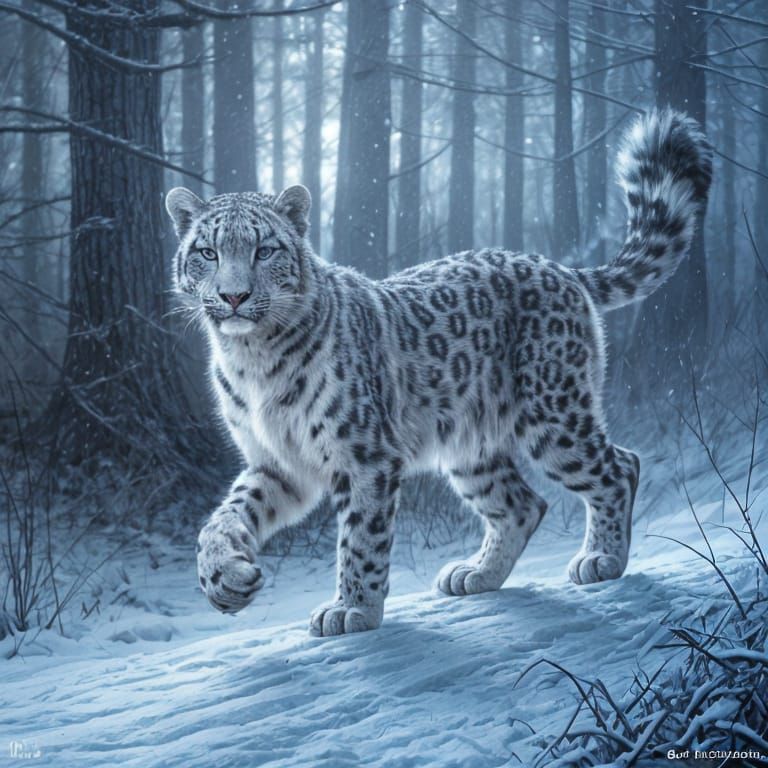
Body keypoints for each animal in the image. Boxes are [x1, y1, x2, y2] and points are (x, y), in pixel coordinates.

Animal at [165, 109, 712, 636]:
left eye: (264, 250)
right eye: (208, 252)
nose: (234, 296)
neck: (252, 358)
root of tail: (559, 267)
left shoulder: (365, 456)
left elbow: (360, 536)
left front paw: (352, 609)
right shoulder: (276, 462)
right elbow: (224, 517)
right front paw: (225, 579)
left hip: (553, 414)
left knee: (619, 466)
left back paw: (600, 558)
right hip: (471, 446)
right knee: (522, 503)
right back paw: (476, 574)